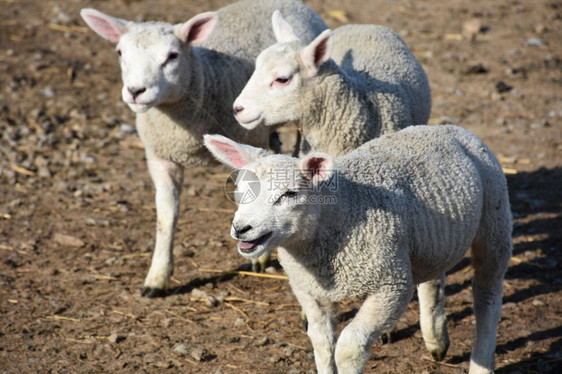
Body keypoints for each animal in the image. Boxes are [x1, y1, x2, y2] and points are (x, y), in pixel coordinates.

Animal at [79, 0, 328, 298]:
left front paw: (260, 255)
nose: (136, 91)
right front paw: (157, 277)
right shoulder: (160, 157)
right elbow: (166, 216)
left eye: (172, 55)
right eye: (119, 52)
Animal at [205, 126, 512, 374]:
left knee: (487, 296)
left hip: (494, 220)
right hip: (429, 239)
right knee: (433, 279)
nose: (241, 229)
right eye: (240, 190)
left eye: (289, 194)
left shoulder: (391, 286)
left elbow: (348, 347)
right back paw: (436, 340)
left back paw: (481, 361)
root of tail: (449, 128)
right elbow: (322, 343)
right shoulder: (309, 290)